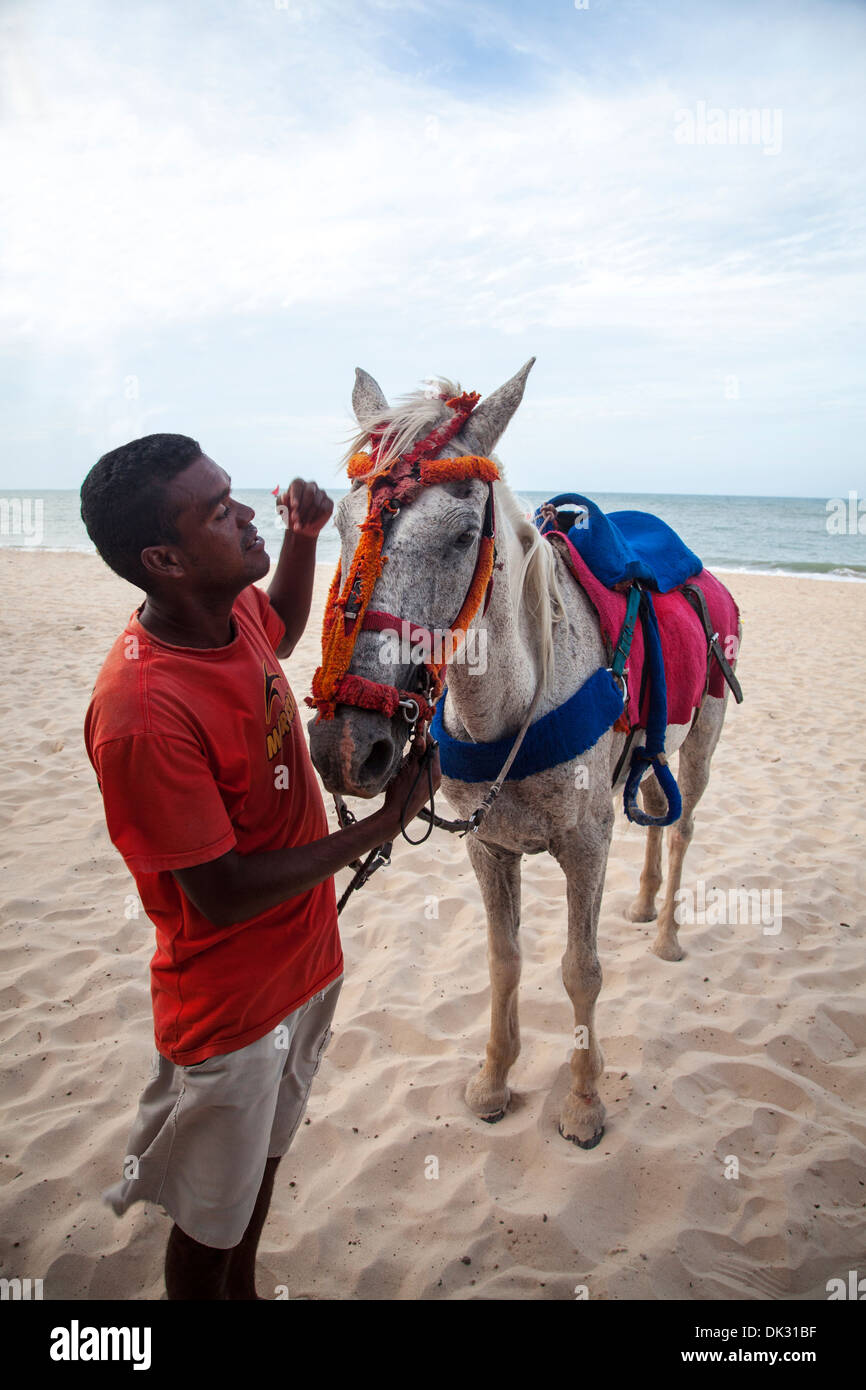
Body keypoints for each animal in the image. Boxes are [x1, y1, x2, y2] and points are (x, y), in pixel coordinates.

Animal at [309, 361, 739, 1150]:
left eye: (460, 537)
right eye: (341, 524)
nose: (348, 747)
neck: (509, 710)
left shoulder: (586, 843)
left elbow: (580, 971)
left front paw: (583, 1103)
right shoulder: (490, 848)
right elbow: (503, 961)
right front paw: (493, 1079)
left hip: (701, 741)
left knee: (683, 824)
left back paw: (666, 932)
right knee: (656, 809)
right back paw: (642, 904)